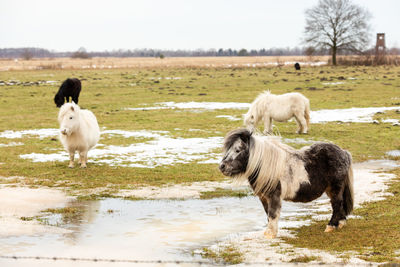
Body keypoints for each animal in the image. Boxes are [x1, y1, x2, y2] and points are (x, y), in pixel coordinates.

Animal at [219, 129, 354, 240]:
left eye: (237, 150)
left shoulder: (274, 196)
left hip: (336, 188)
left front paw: (270, 235)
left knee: (337, 204)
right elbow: (268, 214)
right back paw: (340, 224)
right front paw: (269, 232)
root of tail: (344, 152)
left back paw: (330, 226)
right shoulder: (263, 197)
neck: (267, 166)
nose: (222, 166)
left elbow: (273, 214)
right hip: (331, 189)